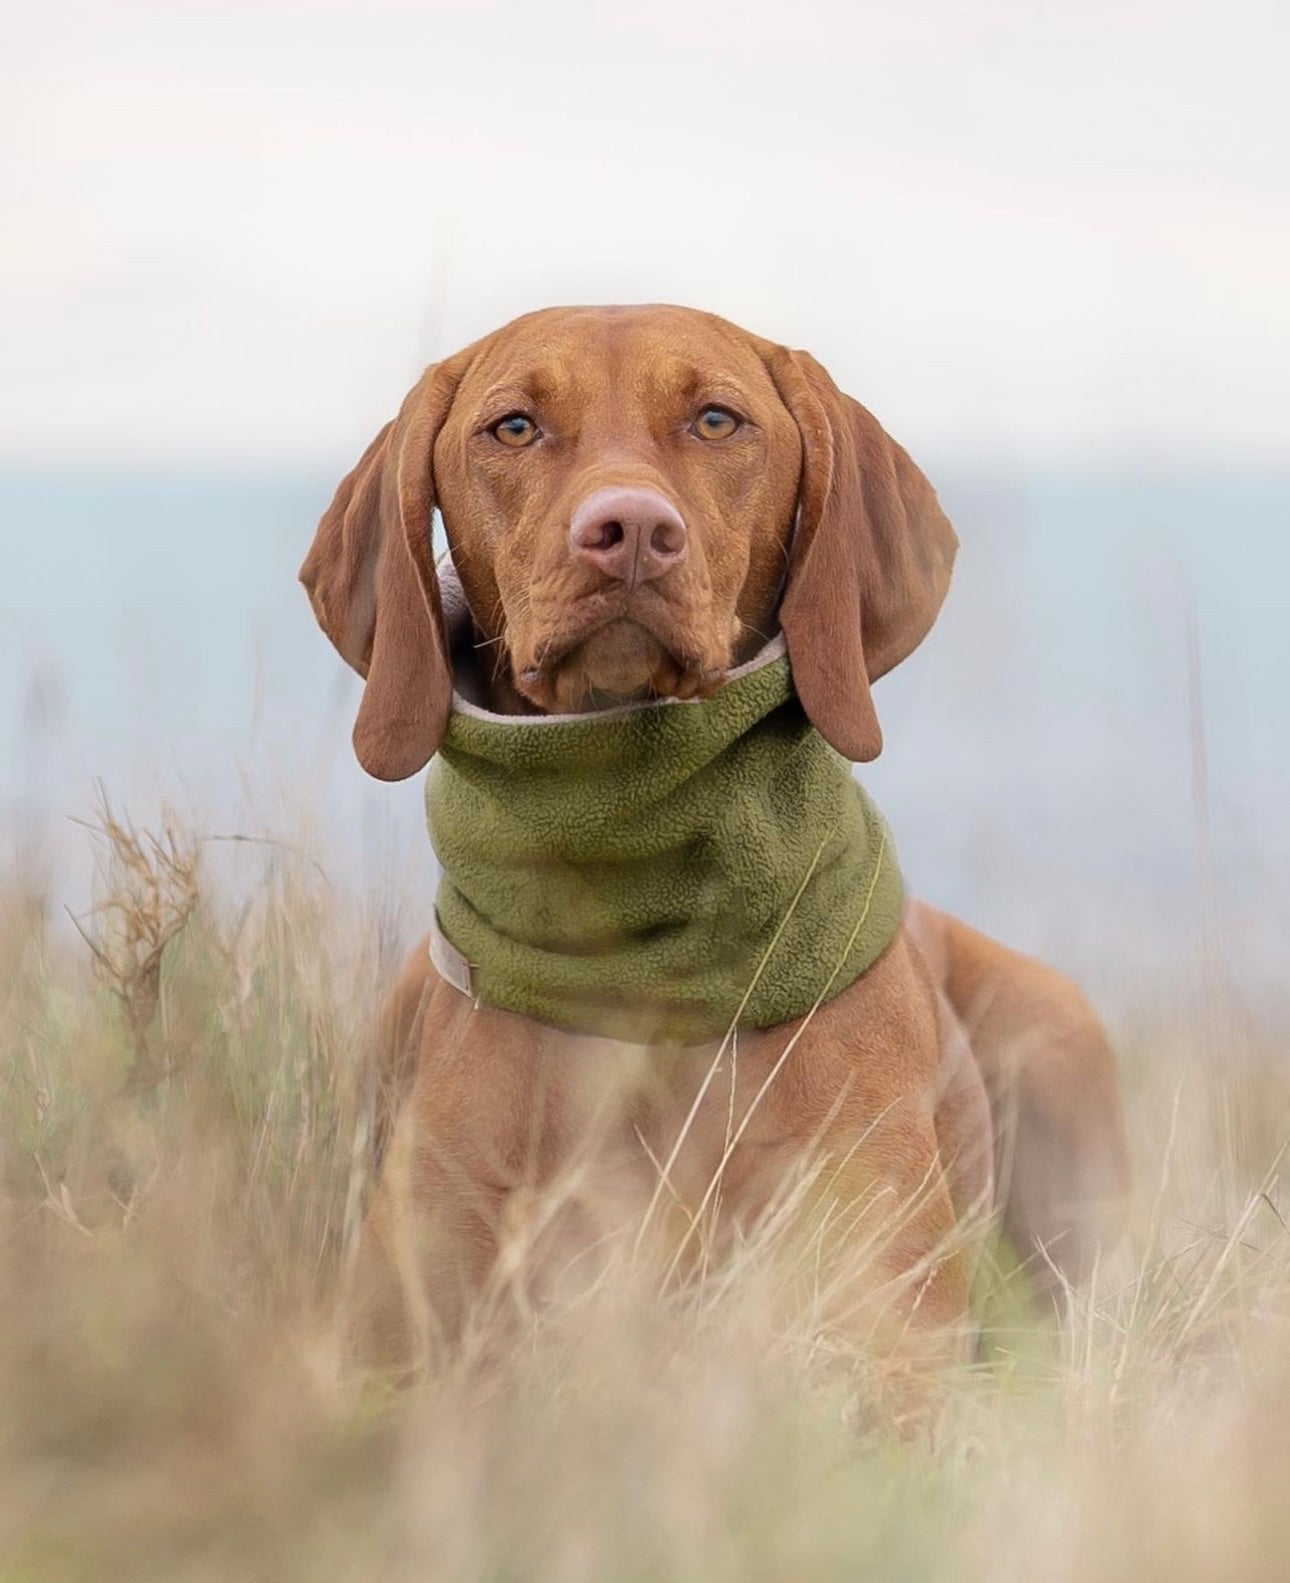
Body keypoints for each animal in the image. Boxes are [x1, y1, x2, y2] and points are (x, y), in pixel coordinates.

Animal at [302, 302, 1126, 1393]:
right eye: (513, 426)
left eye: (717, 420)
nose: (631, 534)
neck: (643, 967)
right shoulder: (383, 1341)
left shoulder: (891, 1340)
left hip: (1061, 1058)